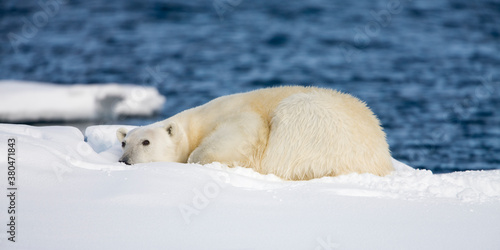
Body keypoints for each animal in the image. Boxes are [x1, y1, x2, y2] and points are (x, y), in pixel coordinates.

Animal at [115, 86, 392, 180]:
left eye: (146, 142)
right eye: (124, 143)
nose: (124, 161)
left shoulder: (239, 116)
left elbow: (243, 133)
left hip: (309, 122)